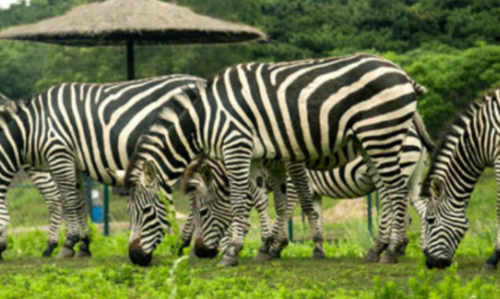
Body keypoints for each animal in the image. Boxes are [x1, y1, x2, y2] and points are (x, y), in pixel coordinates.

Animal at [0, 75, 205, 260]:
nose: (2, 254)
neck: (32, 126)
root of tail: (200, 80)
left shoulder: (59, 154)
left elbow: (68, 201)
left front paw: (68, 245)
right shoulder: (73, 162)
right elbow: (79, 202)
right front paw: (84, 245)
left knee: (196, 196)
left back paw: (183, 244)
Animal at [180, 116, 434, 262]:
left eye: (203, 212)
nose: (199, 252)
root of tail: (413, 131)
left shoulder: (292, 186)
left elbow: (282, 214)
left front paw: (274, 246)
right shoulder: (315, 193)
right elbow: (315, 216)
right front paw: (317, 248)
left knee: (395, 206)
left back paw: (386, 249)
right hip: (413, 180)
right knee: (420, 210)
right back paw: (411, 247)